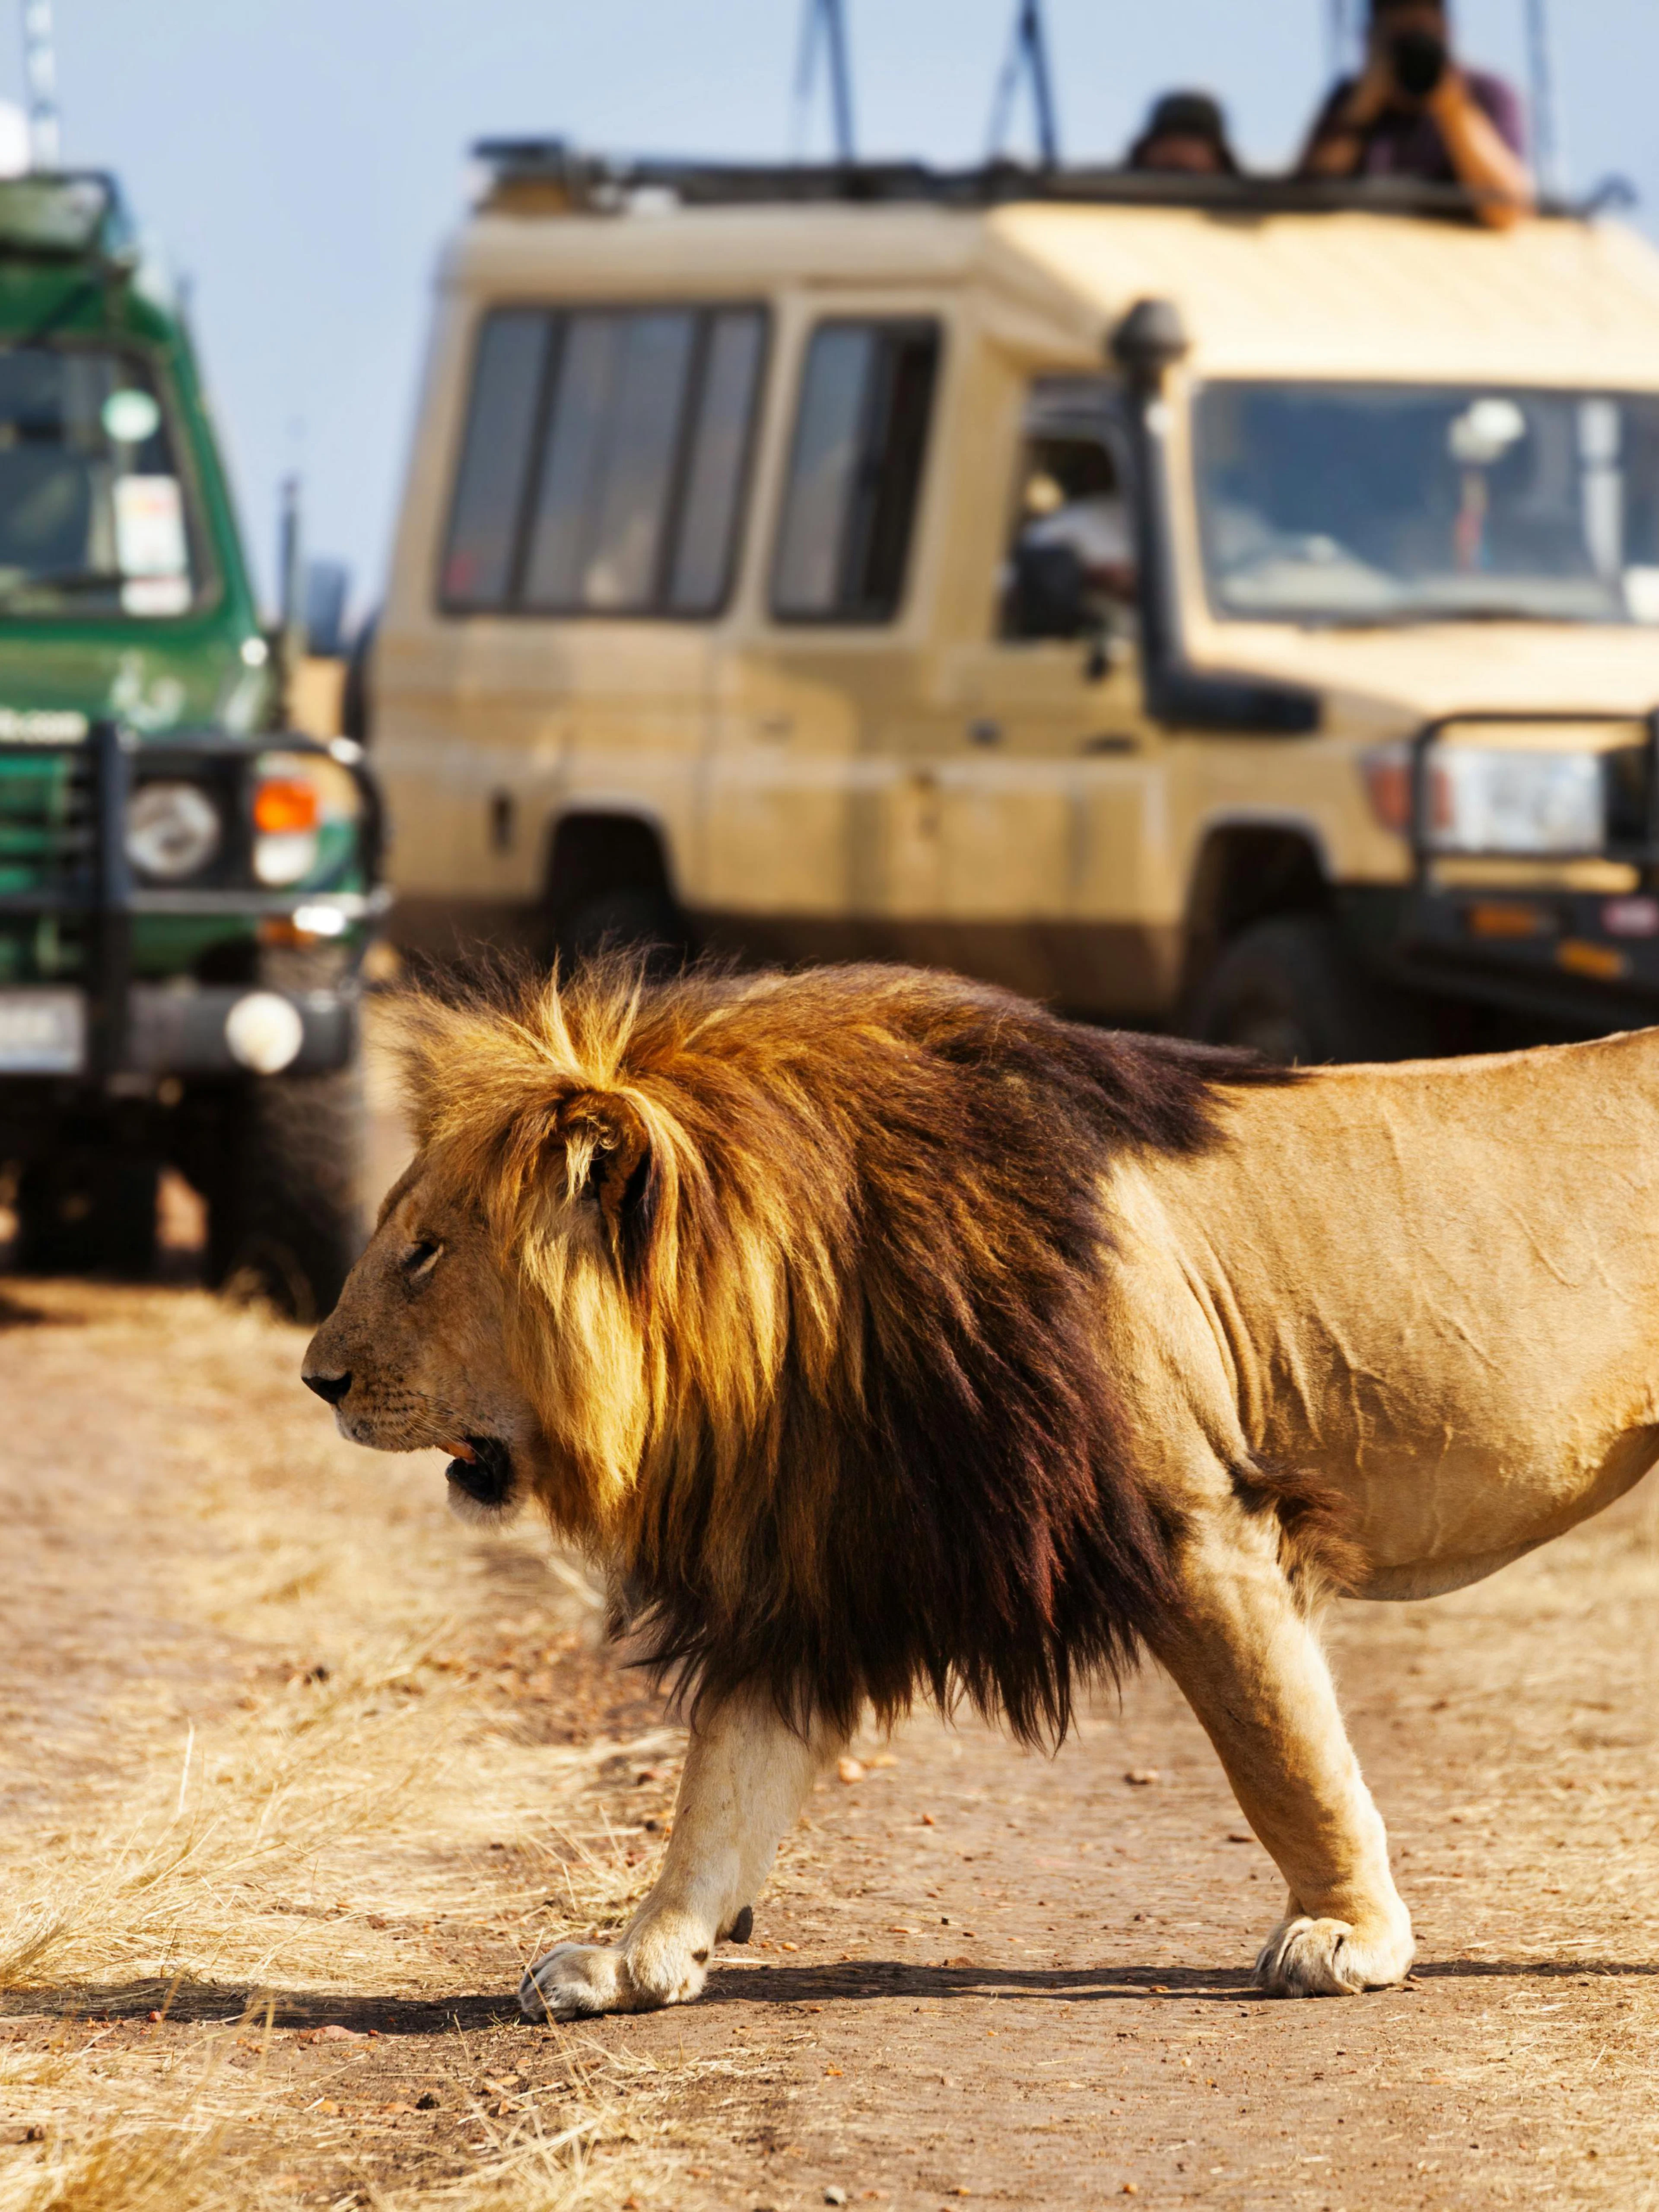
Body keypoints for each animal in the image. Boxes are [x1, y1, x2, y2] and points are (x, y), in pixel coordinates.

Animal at [303, 958, 1659, 2019]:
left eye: (424, 1252)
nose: (317, 1378)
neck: (809, 1301)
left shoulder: (1198, 1526)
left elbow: (1286, 1754)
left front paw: (1351, 1935)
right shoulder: (820, 1567)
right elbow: (723, 1788)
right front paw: (636, 1961)